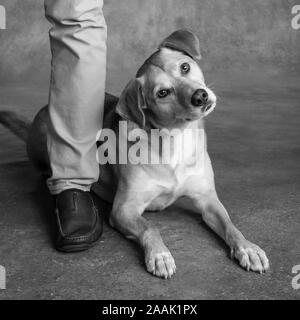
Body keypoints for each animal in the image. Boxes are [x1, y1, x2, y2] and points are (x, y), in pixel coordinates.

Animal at [1, 30, 270, 280]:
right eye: (162, 93)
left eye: (185, 67)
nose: (200, 96)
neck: (175, 140)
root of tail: (43, 111)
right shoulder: (124, 209)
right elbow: (150, 228)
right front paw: (160, 255)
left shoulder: (208, 199)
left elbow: (230, 224)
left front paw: (247, 248)